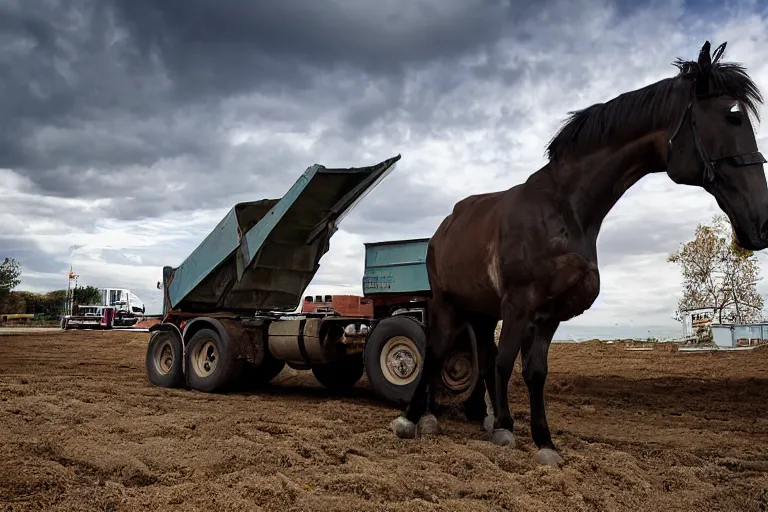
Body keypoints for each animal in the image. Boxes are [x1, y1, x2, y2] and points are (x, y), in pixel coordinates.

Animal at [392, 42, 764, 466]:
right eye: (732, 116)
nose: (760, 222)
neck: (563, 210)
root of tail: (443, 228)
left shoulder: (548, 315)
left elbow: (534, 371)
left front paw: (543, 441)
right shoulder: (519, 305)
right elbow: (505, 362)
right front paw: (505, 428)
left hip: (481, 312)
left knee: (481, 356)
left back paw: (460, 416)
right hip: (445, 302)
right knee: (437, 351)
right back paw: (415, 418)